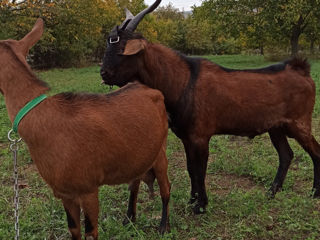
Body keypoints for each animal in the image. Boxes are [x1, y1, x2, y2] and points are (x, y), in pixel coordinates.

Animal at [0, 19, 170, 240]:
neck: (47, 122)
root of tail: (152, 90)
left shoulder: (88, 188)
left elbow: (91, 231)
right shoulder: (66, 193)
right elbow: (74, 229)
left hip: (161, 150)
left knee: (166, 188)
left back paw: (164, 226)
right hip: (140, 155)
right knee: (135, 182)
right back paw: (129, 218)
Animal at [101, 0, 320, 214]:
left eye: (121, 48)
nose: (104, 73)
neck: (183, 81)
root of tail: (301, 70)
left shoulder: (200, 136)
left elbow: (200, 170)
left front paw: (201, 205)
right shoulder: (186, 137)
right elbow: (191, 169)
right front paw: (192, 200)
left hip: (299, 122)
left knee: (315, 151)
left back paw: (314, 192)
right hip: (276, 126)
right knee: (286, 155)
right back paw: (272, 192)